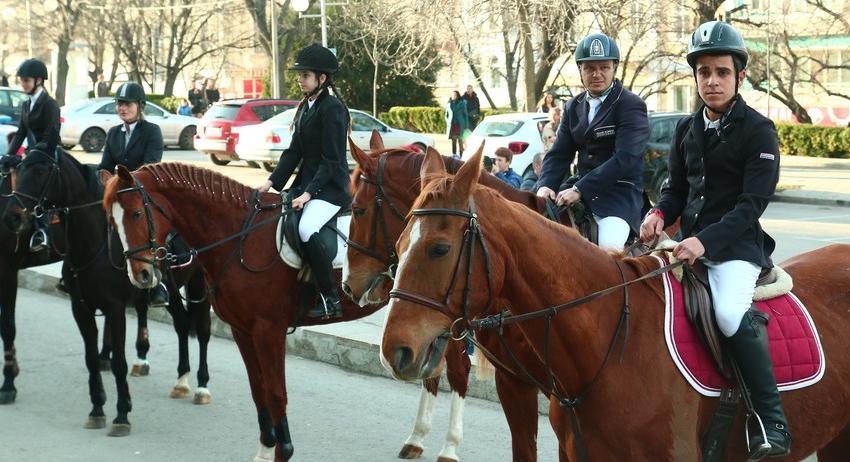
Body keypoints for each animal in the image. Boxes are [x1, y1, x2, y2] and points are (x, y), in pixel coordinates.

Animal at [102, 164, 384, 460]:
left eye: (135, 213)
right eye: (111, 220)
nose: (141, 275)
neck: (240, 236)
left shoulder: (269, 330)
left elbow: (275, 393)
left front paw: (284, 450)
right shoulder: (242, 330)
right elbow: (258, 390)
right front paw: (265, 447)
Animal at [342, 140, 568, 462]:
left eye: (358, 210)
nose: (348, 284)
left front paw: (448, 444)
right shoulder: (509, 377)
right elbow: (441, 372)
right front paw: (421, 436)